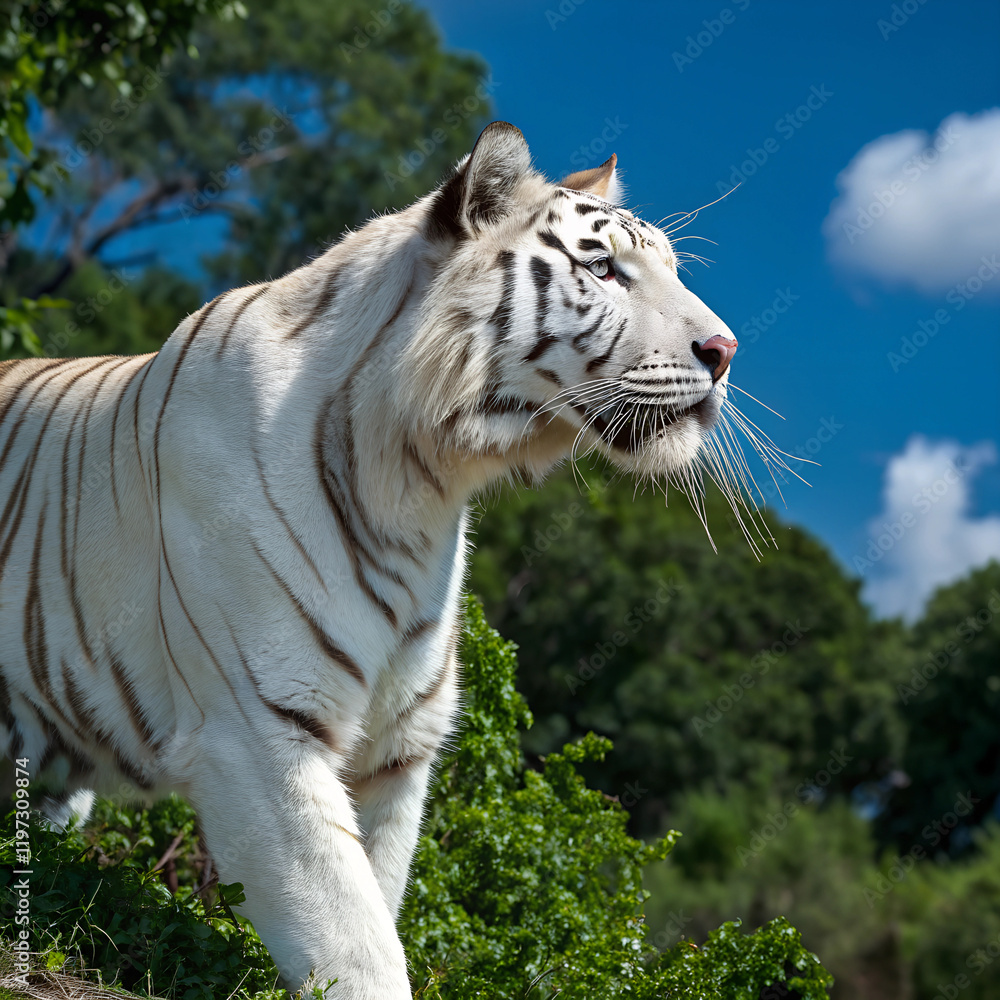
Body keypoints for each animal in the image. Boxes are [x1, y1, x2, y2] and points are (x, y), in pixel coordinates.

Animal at [0, 122, 744, 998]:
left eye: (670, 267)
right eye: (601, 269)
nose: (725, 350)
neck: (418, 481)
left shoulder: (396, 750)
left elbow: (377, 896)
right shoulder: (258, 732)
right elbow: (355, 940)